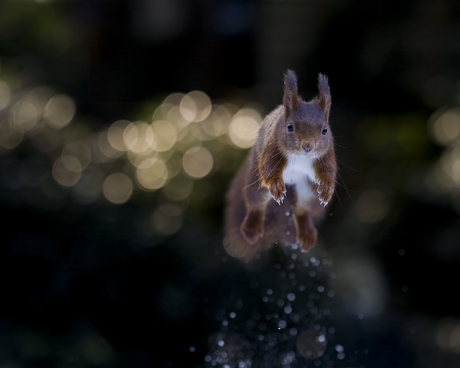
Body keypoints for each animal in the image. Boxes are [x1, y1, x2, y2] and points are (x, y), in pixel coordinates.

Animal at [224, 70, 336, 260]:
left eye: (325, 130)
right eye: (289, 127)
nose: (307, 147)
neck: (301, 158)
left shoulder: (325, 156)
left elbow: (328, 172)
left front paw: (327, 187)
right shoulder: (273, 148)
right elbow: (269, 168)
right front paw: (276, 186)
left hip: (310, 193)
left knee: (302, 211)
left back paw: (307, 233)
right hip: (256, 185)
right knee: (256, 204)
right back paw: (251, 229)